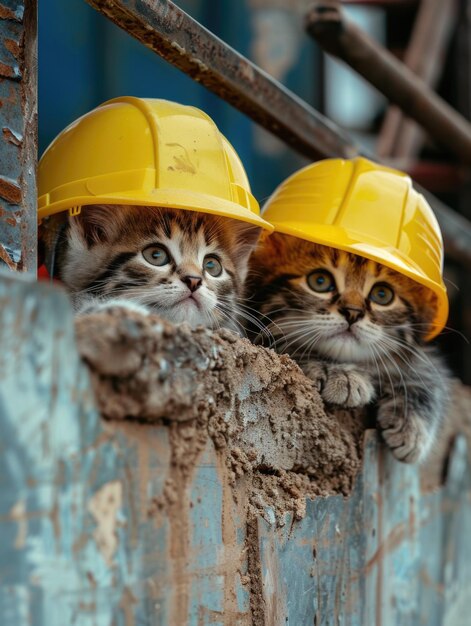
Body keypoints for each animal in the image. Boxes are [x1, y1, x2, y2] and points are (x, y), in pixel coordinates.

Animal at [249, 232, 452, 460]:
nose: (352, 312)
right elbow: (289, 348)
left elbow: (428, 376)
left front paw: (413, 428)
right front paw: (342, 374)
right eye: (320, 281)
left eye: (382, 294)